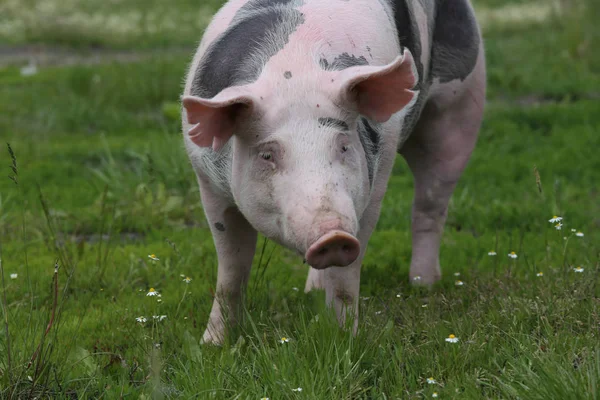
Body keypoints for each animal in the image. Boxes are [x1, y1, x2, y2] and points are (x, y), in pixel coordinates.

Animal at [180, 0, 486, 344]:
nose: (332, 235)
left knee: (430, 206)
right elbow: (232, 269)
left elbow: (346, 275)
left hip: (461, 107)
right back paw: (311, 290)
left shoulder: (371, 188)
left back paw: (423, 283)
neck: (294, 72)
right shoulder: (208, 183)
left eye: (343, 145)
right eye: (267, 154)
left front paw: (343, 340)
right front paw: (213, 344)